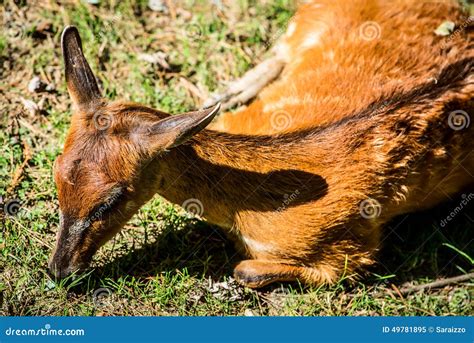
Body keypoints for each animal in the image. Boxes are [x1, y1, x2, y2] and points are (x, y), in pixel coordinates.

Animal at [50, 1, 472, 288]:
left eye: (110, 200)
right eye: (56, 174)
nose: (59, 269)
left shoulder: (350, 249)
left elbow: (246, 271)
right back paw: (229, 90)